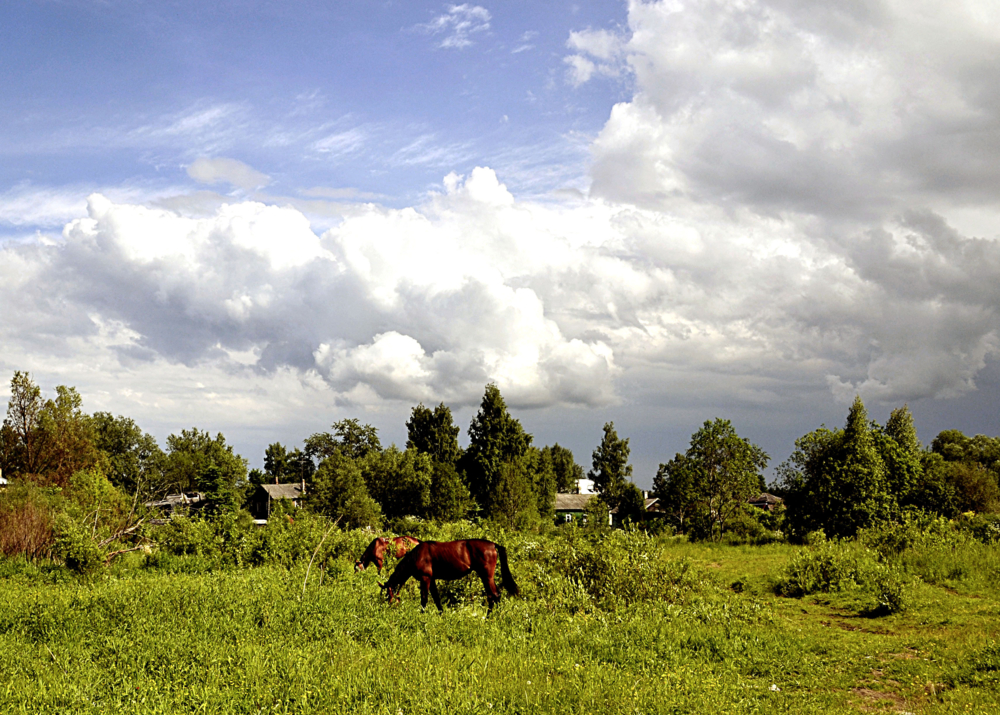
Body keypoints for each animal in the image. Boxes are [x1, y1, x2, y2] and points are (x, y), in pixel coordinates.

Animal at [376, 540, 516, 612]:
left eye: (387, 595)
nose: (386, 608)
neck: (417, 555)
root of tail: (493, 545)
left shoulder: (425, 578)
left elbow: (424, 599)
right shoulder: (431, 580)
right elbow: (436, 599)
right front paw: (441, 615)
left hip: (486, 576)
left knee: (493, 595)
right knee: (496, 595)